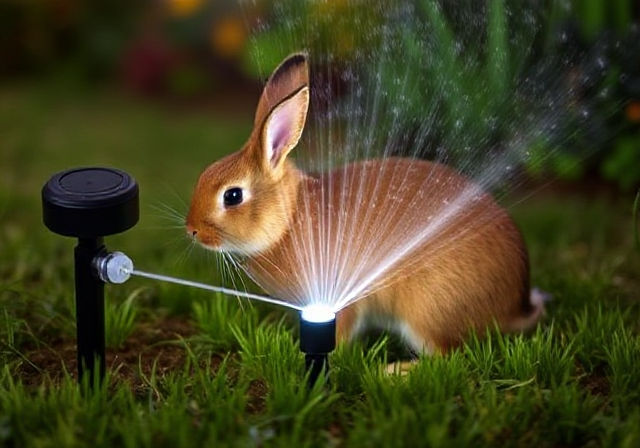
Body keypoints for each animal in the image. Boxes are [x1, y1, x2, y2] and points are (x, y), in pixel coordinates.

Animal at [185, 52, 545, 356]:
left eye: (232, 196)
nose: (192, 230)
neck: (286, 222)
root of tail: (513, 307)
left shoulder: (338, 296)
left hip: (425, 310)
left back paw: (394, 372)